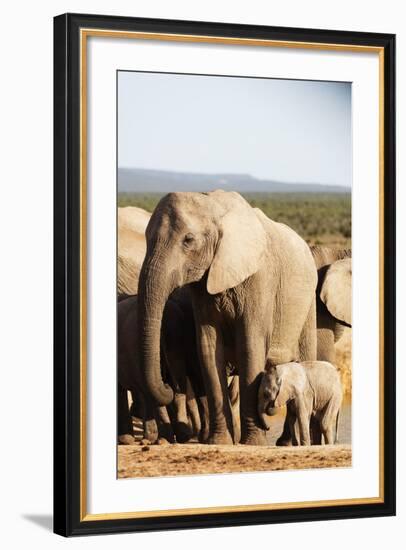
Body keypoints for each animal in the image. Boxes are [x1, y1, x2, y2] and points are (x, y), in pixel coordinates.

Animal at [138, 192, 318, 446]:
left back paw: (287, 443)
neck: (213, 205)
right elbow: (208, 348)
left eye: (188, 240)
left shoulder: (260, 278)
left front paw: (253, 444)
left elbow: (250, 345)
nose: (168, 385)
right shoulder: (202, 285)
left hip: (308, 303)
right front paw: (220, 442)